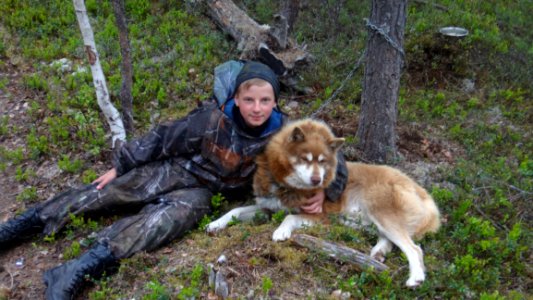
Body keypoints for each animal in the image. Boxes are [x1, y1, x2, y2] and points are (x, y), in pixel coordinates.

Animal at [206, 118, 438, 288]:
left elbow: (290, 217)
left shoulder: (320, 215)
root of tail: (422, 192)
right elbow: (235, 210)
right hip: (371, 221)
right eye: (305, 159)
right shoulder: (267, 208)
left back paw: (415, 278)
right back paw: (378, 253)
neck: (286, 186)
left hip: (381, 213)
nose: (318, 181)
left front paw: (281, 231)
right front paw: (215, 224)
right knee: (391, 239)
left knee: (414, 248)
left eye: (323, 161)